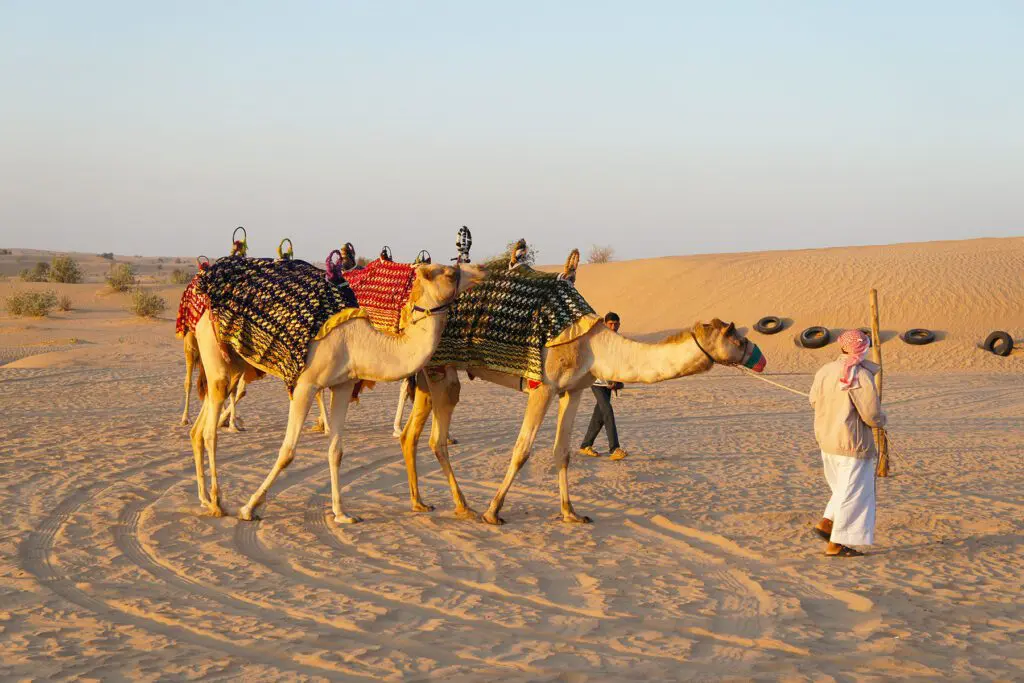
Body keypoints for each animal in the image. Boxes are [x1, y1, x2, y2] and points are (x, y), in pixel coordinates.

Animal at [191, 262, 483, 518]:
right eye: (449, 272)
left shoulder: (343, 385)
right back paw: (218, 502)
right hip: (213, 351)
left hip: (234, 363)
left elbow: (336, 451)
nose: (481, 269)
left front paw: (342, 513)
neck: (359, 344)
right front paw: (249, 508)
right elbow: (288, 451)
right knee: (209, 432)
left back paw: (204, 499)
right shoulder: (305, 385)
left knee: (198, 429)